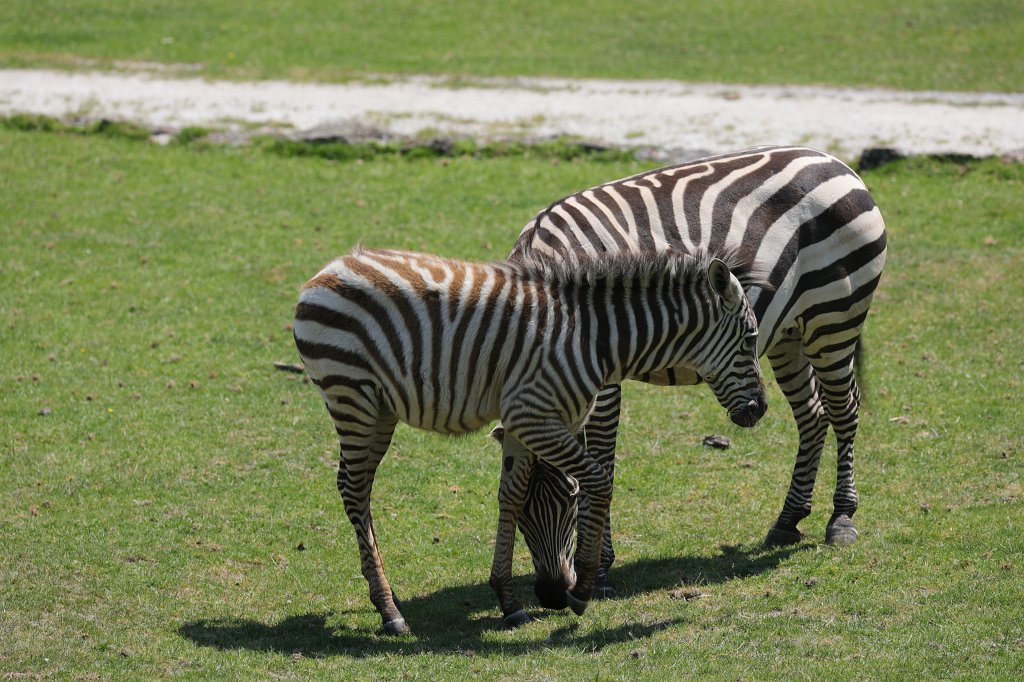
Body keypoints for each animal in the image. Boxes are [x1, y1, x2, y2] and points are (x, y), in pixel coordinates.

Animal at [293, 245, 767, 633]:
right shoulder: (532, 414)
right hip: (352, 395)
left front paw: (509, 601)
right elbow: (598, 481)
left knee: (357, 487)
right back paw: (390, 611)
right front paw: (585, 589)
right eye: (750, 339)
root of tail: (329, 268)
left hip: (379, 409)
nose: (760, 410)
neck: (595, 338)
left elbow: (512, 494)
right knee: (354, 489)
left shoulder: (526, 423)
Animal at [508, 145, 888, 600]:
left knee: (844, 409)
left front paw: (599, 569)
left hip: (834, 318)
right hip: (789, 332)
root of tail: (837, 162)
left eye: (567, 503)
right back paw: (787, 521)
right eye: (520, 516)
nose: (549, 594)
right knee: (813, 414)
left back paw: (842, 518)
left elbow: (602, 461)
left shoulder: (604, 377)